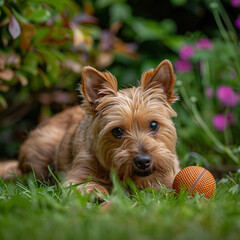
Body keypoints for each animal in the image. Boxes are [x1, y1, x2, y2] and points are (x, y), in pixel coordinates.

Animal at [0, 59, 180, 195]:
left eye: (154, 124)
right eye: (117, 131)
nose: (143, 161)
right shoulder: (76, 177)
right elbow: (84, 185)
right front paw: (97, 195)